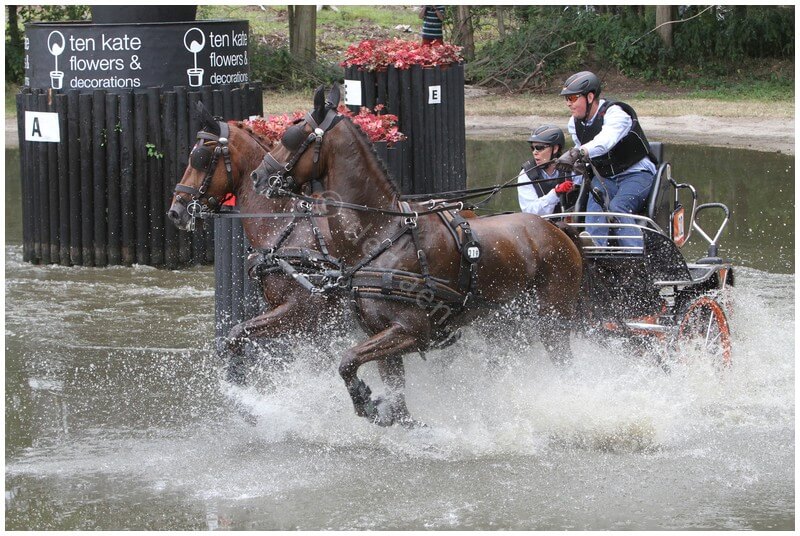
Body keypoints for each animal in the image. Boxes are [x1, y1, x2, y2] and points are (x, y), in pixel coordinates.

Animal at [251, 84, 585, 426]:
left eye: (291, 135)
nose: (258, 176)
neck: (382, 232)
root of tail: (556, 229)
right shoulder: (381, 333)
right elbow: (393, 399)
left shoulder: (413, 332)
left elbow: (347, 359)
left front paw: (365, 401)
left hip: (553, 321)